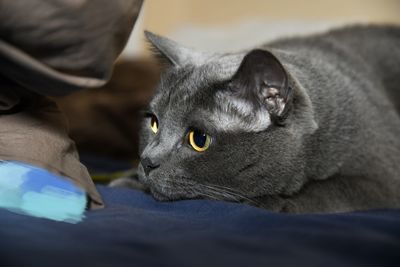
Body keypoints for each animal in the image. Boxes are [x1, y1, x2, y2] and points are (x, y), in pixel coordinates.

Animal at [111, 24, 400, 214]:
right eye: (154, 123)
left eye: (199, 139)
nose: (147, 161)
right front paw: (127, 180)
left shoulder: (383, 180)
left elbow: (328, 192)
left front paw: (269, 202)